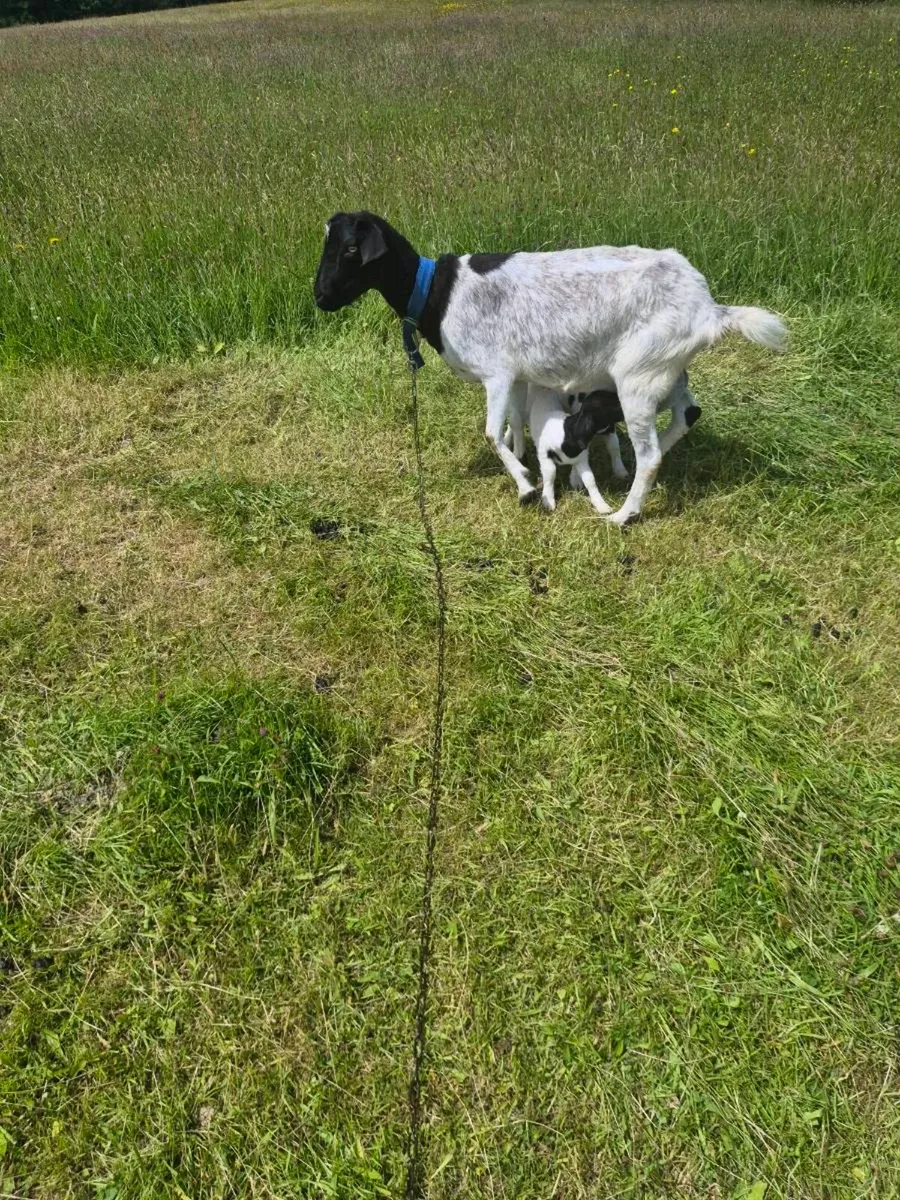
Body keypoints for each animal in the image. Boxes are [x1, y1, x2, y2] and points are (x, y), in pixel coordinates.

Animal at [313, 212, 787, 524]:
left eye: (352, 248)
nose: (321, 298)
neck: (439, 293)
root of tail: (709, 309)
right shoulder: (517, 374)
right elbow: (516, 420)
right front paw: (523, 453)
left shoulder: (497, 370)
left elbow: (490, 432)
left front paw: (525, 485)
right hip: (666, 368)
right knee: (688, 413)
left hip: (639, 374)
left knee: (651, 453)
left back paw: (624, 514)